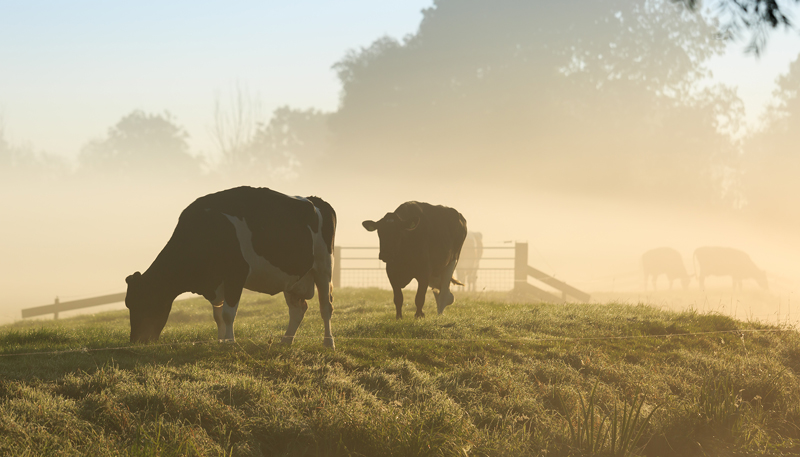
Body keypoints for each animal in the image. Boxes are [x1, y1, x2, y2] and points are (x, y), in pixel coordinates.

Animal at [125, 184, 338, 346]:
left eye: (145, 302)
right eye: (129, 304)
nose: (136, 341)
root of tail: (315, 200)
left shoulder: (236, 275)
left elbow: (228, 314)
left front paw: (230, 342)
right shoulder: (217, 283)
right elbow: (218, 316)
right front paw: (221, 341)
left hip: (324, 267)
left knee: (326, 307)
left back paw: (328, 342)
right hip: (293, 278)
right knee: (298, 310)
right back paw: (285, 341)